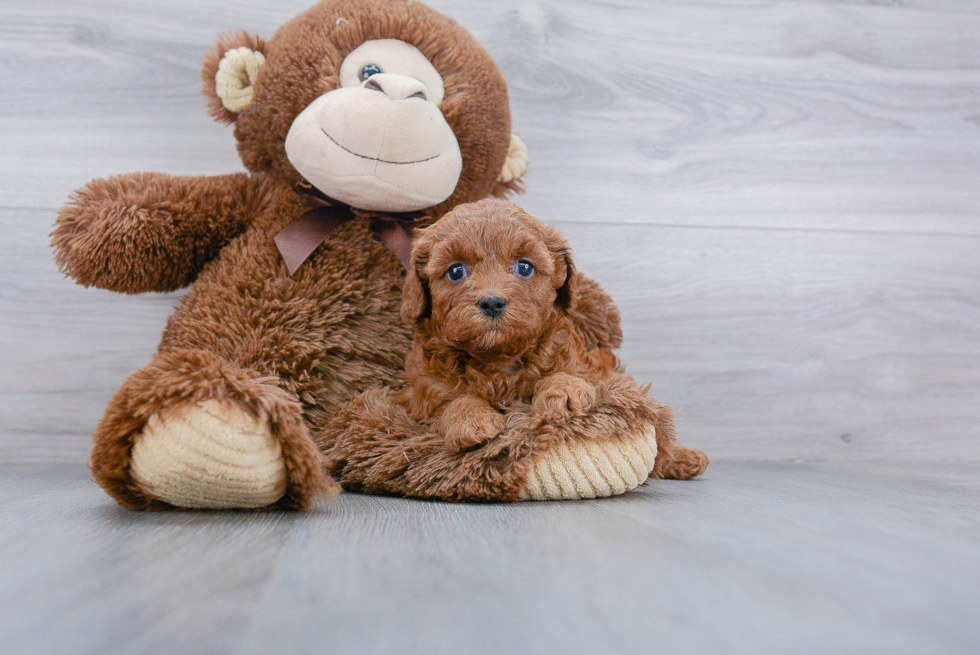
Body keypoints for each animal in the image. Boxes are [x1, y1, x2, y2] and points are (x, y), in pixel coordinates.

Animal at [398, 197, 712, 480]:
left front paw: (563, 394)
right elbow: (451, 402)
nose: (492, 302)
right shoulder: (422, 396)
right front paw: (471, 420)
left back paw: (683, 458)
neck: (499, 357)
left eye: (525, 267)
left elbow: (568, 376)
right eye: (455, 271)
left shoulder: (588, 368)